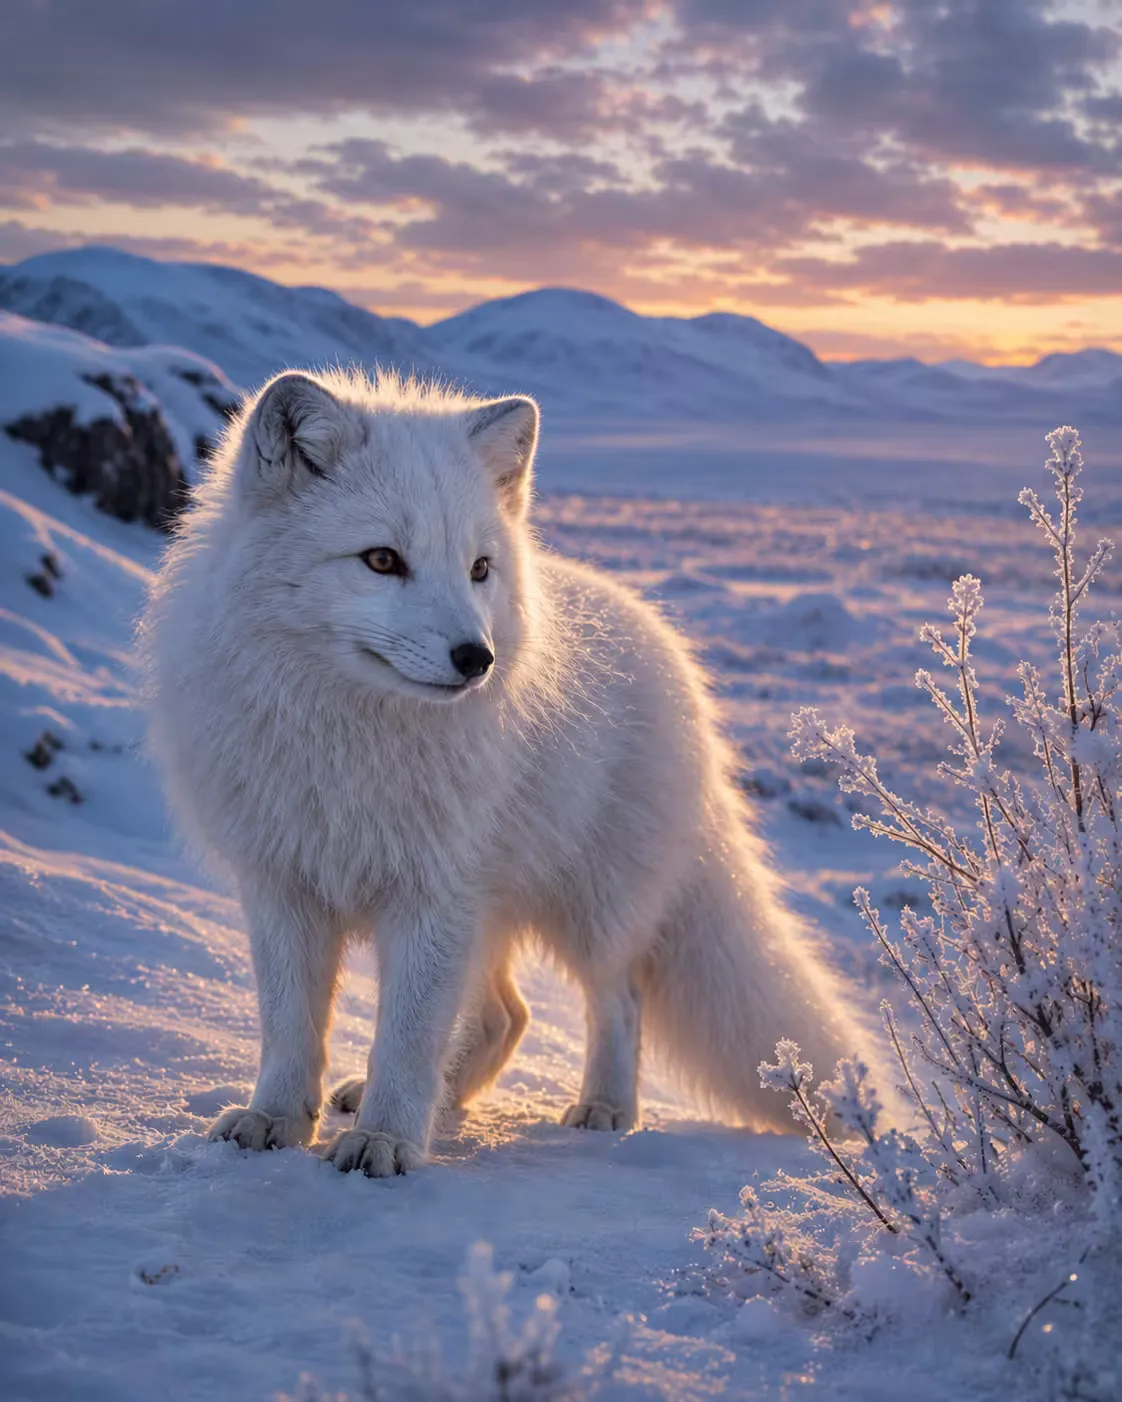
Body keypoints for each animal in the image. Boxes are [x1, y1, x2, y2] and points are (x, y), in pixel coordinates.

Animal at [140, 368, 877, 1178]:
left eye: (479, 569)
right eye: (381, 560)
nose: (477, 659)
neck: (350, 740)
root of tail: (673, 658)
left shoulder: (432, 896)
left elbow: (408, 1038)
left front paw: (387, 1139)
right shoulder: (282, 885)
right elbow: (290, 1026)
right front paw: (275, 1120)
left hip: (588, 904)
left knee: (617, 999)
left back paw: (604, 1110)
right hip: (490, 910)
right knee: (506, 1016)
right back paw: (442, 1101)